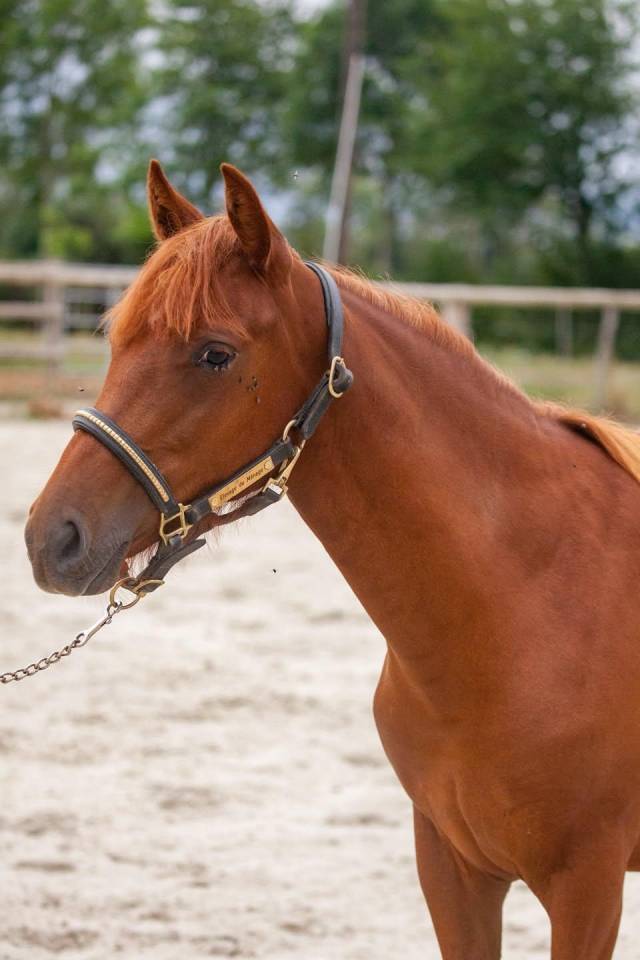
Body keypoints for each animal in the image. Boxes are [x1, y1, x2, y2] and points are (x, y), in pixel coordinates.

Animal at [24, 159, 640, 959]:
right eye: (116, 342)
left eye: (215, 354)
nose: (52, 538)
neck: (531, 606)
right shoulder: (453, 869)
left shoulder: (586, 887)